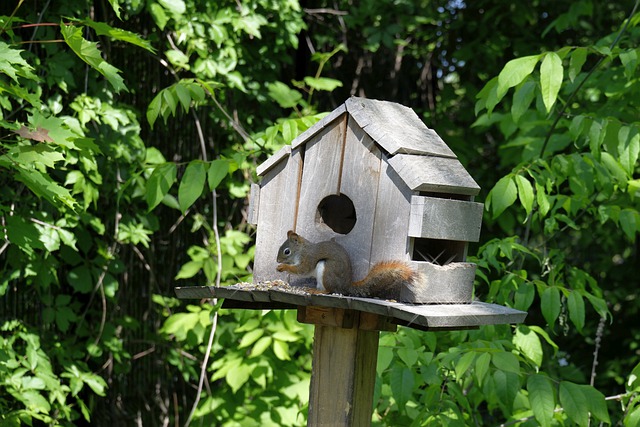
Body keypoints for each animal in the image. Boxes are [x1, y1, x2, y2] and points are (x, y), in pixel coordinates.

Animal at [276, 231, 420, 300]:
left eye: (287, 251)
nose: (277, 260)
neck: (301, 250)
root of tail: (345, 286)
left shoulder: (308, 258)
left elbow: (302, 270)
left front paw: (283, 267)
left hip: (327, 270)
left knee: (329, 290)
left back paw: (317, 291)